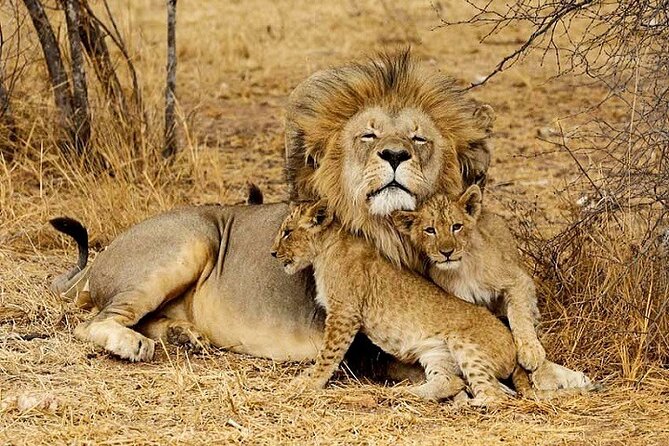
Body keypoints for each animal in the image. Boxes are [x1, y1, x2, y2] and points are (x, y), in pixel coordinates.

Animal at [271, 200, 531, 403]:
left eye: (287, 232)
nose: (273, 252)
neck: (326, 248)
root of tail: (512, 341)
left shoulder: (344, 313)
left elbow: (328, 354)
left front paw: (310, 383)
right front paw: (305, 377)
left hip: (464, 346)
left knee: (495, 395)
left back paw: (472, 404)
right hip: (436, 354)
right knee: (451, 381)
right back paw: (403, 393)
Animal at [391, 185, 546, 372]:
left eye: (456, 226)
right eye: (430, 230)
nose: (447, 252)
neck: (462, 270)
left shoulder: (516, 278)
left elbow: (519, 314)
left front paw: (531, 350)